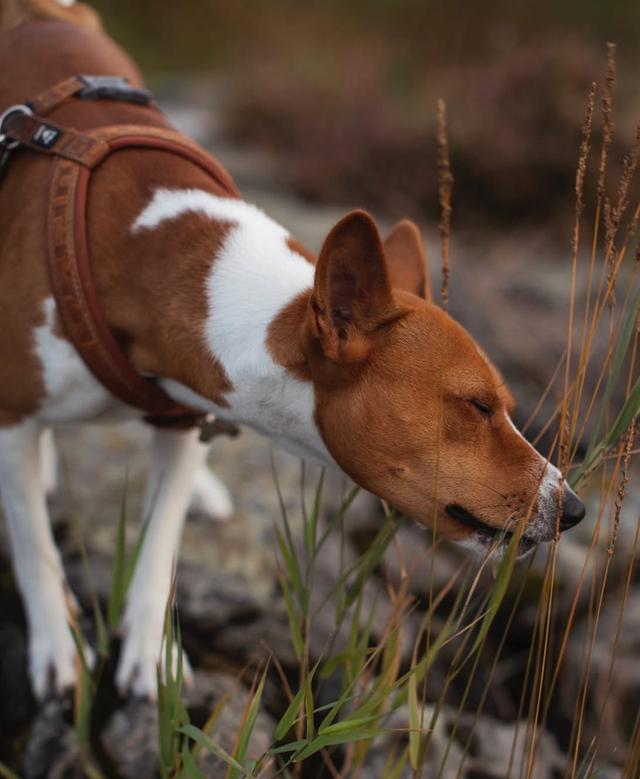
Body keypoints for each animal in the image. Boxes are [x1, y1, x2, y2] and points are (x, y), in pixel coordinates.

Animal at [0, 0, 584, 700]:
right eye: (476, 406)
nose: (576, 509)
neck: (151, 258)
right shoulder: (11, 418)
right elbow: (35, 544)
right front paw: (59, 650)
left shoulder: (181, 413)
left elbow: (160, 544)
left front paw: (151, 656)